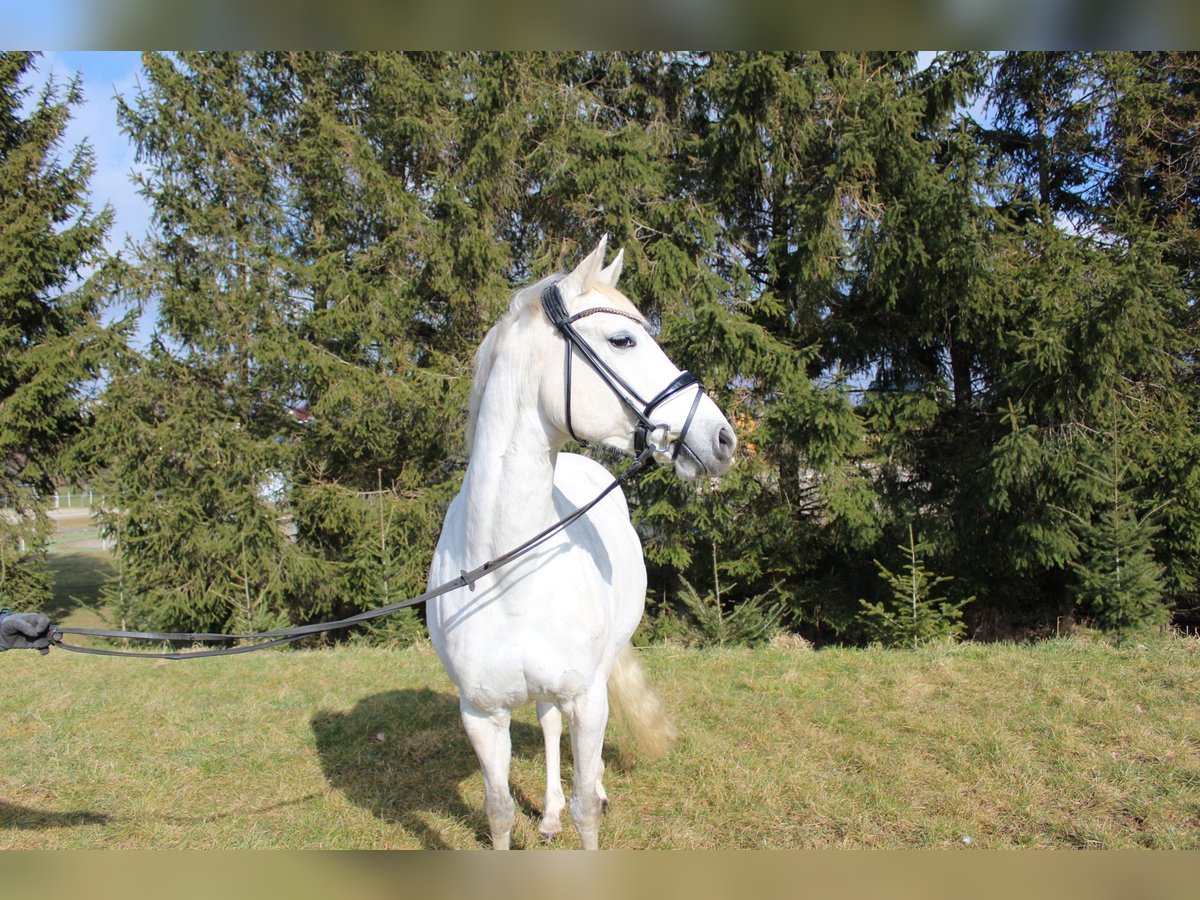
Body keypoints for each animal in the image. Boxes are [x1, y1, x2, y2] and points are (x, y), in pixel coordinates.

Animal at [427, 236, 734, 849]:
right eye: (622, 340)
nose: (722, 437)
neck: (505, 571)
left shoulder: (589, 699)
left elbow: (587, 810)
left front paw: (588, 799)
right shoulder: (481, 715)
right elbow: (498, 812)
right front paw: (533, 815)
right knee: (548, 723)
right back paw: (546, 812)